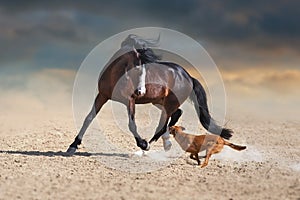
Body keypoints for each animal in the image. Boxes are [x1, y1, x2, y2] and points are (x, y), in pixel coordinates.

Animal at [67, 34, 232, 154]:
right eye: (136, 68)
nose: (140, 91)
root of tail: (188, 76)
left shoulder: (130, 100)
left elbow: (132, 125)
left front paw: (143, 144)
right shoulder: (102, 96)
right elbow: (89, 118)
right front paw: (73, 146)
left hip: (169, 103)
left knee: (163, 123)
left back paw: (147, 148)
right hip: (159, 102)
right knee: (176, 114)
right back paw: (165, 143)